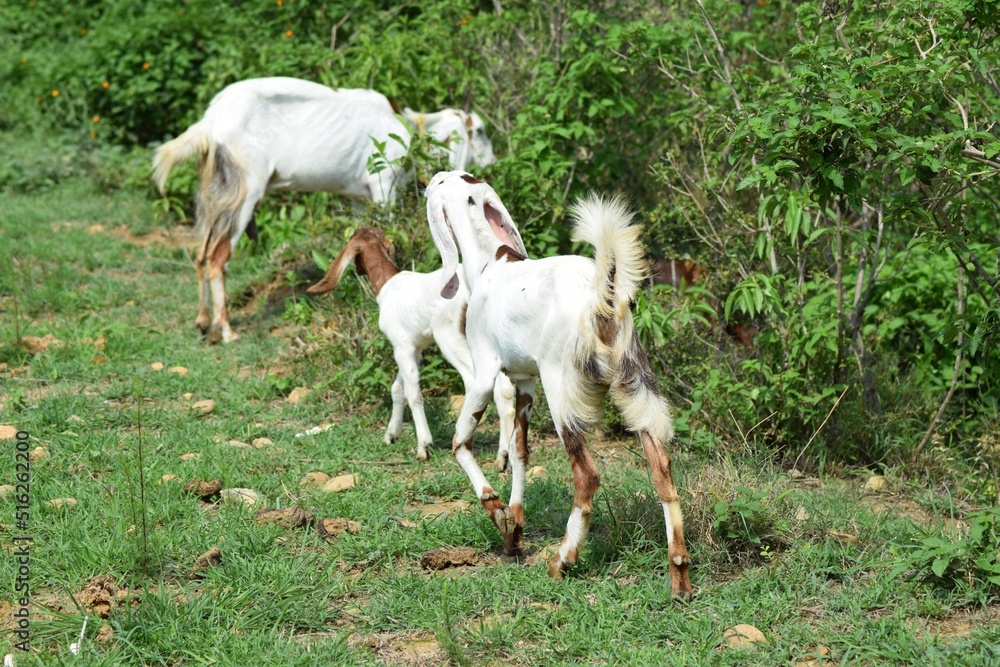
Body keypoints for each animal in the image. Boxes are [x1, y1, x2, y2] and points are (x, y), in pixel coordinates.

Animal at [151, 77, 497, 344]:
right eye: (479, 131)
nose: (492, 162)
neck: (408, 128)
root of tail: (209, 124)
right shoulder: (383, 183)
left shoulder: (358, 196)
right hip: (244, 189)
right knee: (216, 258)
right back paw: (226, 330)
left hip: (217, 192)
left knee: (200, 254)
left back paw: (202, 323)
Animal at [306, 227, 515, 465]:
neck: (388, 284)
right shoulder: (414, 348)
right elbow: (398, 388)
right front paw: (391, 434)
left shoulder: (401, 346)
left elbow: (413, 392)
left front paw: (423, 445)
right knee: (504, 388)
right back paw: (502, 456)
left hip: (451, 337)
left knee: (474, 381)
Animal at [425, 171, 692, 598]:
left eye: (439, 182)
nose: (428, 180)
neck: (489, 263)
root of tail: (602, 298)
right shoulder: (524, 382)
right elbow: (519, 452)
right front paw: (514, 529)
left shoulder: (484, 373)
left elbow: (459, 443)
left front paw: (497, 510)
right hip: (635, 382)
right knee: (662, 468)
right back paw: (679, 575)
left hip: (562, 390)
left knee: (587, 475)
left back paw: (563, 559)